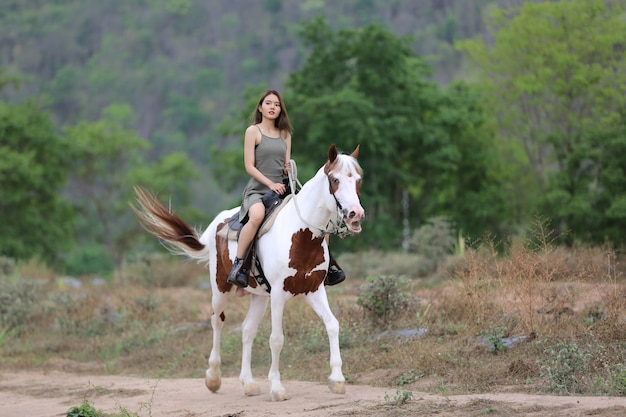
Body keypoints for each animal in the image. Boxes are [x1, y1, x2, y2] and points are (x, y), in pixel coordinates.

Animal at [133, 143, 366, 400]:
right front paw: (277, 387)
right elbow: (276, 339)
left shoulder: (313, 290)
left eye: (358, 179)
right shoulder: (278, 294)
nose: (356, 214)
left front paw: (337, 379)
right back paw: (213, 378)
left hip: (259, 297)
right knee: (217, 321)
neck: (300, 233)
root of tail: (220, 220)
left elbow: (332, 324)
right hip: (220, 288)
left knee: (247, 330)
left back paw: (248, 383)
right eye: (335, 179)